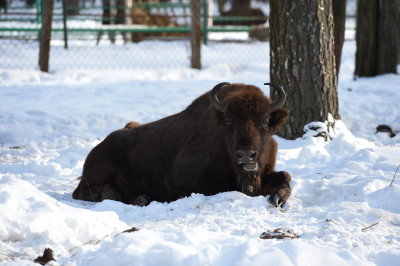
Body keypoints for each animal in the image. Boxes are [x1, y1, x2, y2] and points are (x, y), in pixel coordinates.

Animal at [72, 83, 290, 208]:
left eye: (265, 121)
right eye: (228, 121)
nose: (246, 155)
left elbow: (285, 176)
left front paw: (277, 198)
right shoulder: (178, 179)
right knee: (83, 191)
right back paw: (135, 198)